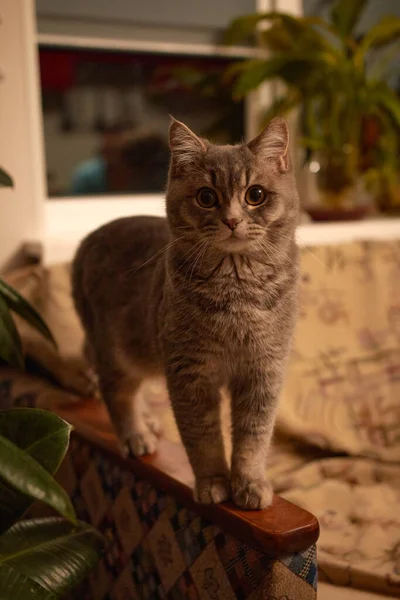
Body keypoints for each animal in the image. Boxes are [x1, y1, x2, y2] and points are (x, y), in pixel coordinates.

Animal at [72, 118, 298, 510]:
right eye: (206, 197)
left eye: (255, 194)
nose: (232, 220)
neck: (236, 290)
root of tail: (86, 241)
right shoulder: (189, 373)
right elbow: (202, 437)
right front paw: (212, 483)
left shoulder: (263, 372)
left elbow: (253, 437)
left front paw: (250, 483)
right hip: (118, 351)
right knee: (117, 392)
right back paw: (135, 434)